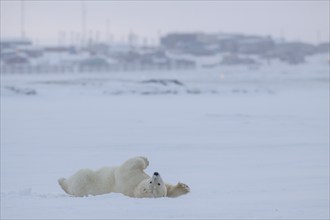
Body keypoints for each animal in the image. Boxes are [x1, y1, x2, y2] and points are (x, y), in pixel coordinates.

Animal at [58, 156, 189, 199]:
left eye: (157, 184)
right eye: (151, 181)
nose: (156, 173)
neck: (135, 189)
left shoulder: (129, 179)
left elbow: (128, 166)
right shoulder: (133, 178)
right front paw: (184, 187)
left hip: (83, 181)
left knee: (79, 177)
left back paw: (61, 180)